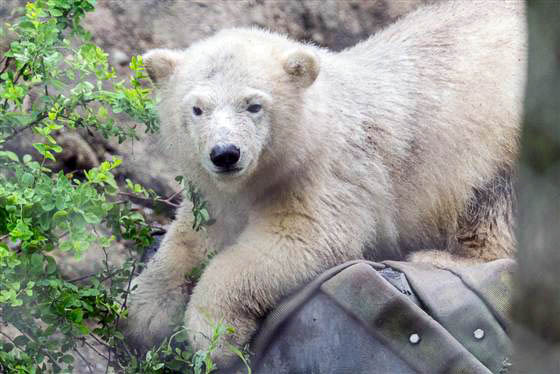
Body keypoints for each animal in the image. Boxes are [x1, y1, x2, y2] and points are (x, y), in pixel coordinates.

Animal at [124, 0, 528, 368]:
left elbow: (300, 240)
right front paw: (147, 312)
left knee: (496, 201)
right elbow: (191, 237)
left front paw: (216, 336)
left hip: (502, 134)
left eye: (254, 105)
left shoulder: (330, 173)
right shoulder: (217, 196)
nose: (225, 154)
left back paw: (442, 257)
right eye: (196, 109)